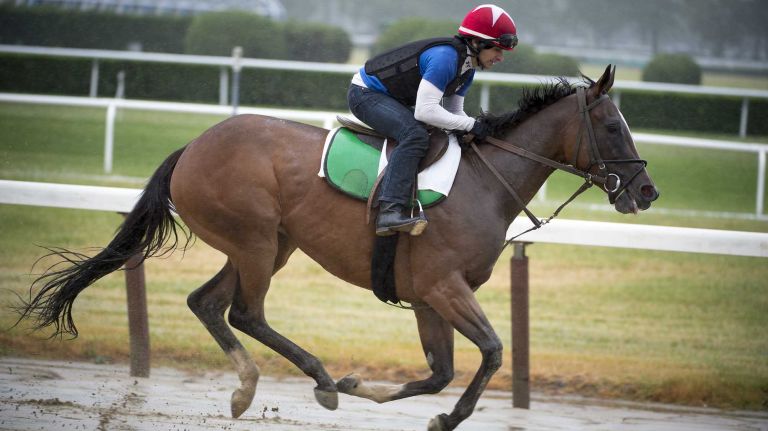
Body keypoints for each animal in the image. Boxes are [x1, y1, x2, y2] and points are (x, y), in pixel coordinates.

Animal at [18, 65, 658, 430]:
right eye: (613, 126)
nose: (647, 191)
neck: (484, 181)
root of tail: (193, 145)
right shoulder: (443, 287)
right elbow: (494, 352)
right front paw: (443, 418)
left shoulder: (428, 297)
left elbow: (441, 371)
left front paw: (370, 390)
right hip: (254, 239)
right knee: (245, 311)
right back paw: (311, 381)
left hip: (269, 244)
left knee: (208, 303)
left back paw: (265, 387)